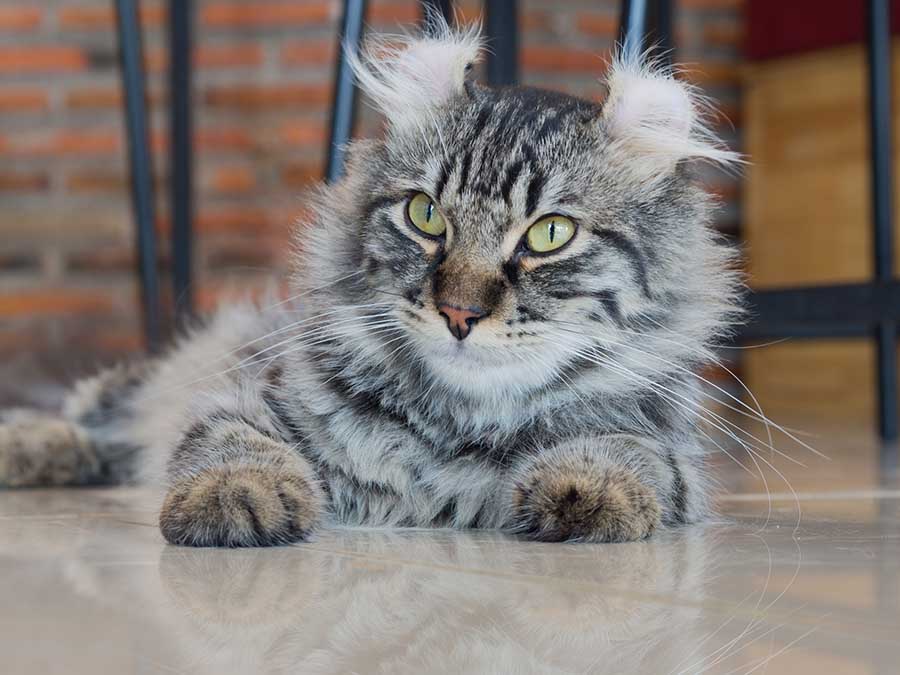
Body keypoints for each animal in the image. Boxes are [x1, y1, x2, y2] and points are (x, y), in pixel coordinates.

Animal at [0, 22, 740, 548]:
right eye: (426, 215)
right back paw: (31, 447)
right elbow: (231, 445)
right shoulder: (244, 397)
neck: (453, 430)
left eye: (549, 235)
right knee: (91, 418)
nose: (458, 312)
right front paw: (235, 501)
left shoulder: (676, 460)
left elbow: (625, 452)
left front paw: (584, 491)